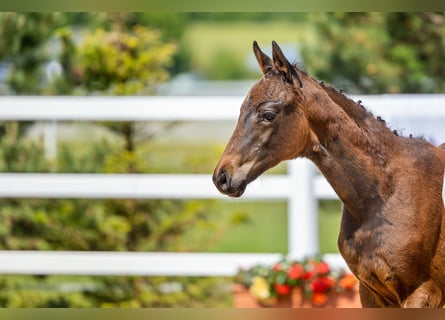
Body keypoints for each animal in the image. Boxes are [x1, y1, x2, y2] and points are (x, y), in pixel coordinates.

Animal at [212, 40, 444, 308]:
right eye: (241, 109)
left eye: (268, 114)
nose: (222, 176)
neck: (385, 195)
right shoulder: (371, 293)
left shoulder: (423, 292)